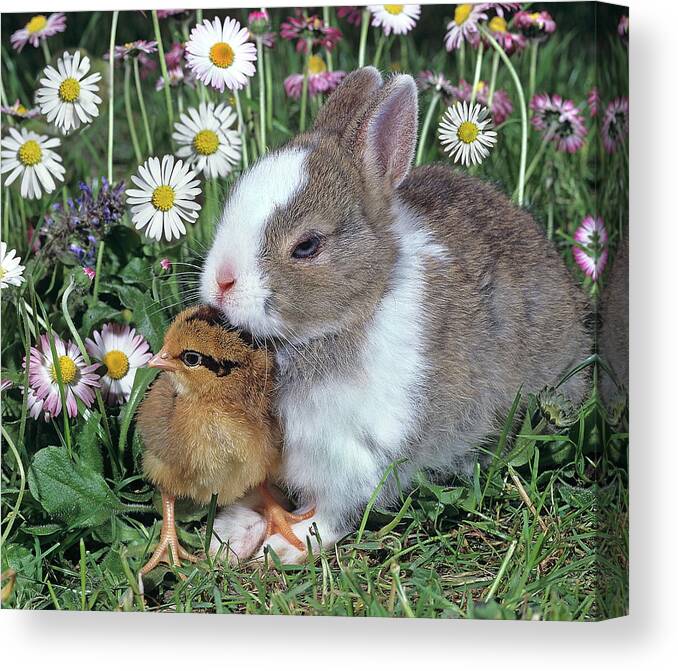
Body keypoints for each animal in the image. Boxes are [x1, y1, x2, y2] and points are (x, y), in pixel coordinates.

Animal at [199, 68, 592, 564]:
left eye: (307, 246)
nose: (221, 283)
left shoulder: (355, 453)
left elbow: (334, 512)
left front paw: (288, 548)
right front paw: (230, 535)